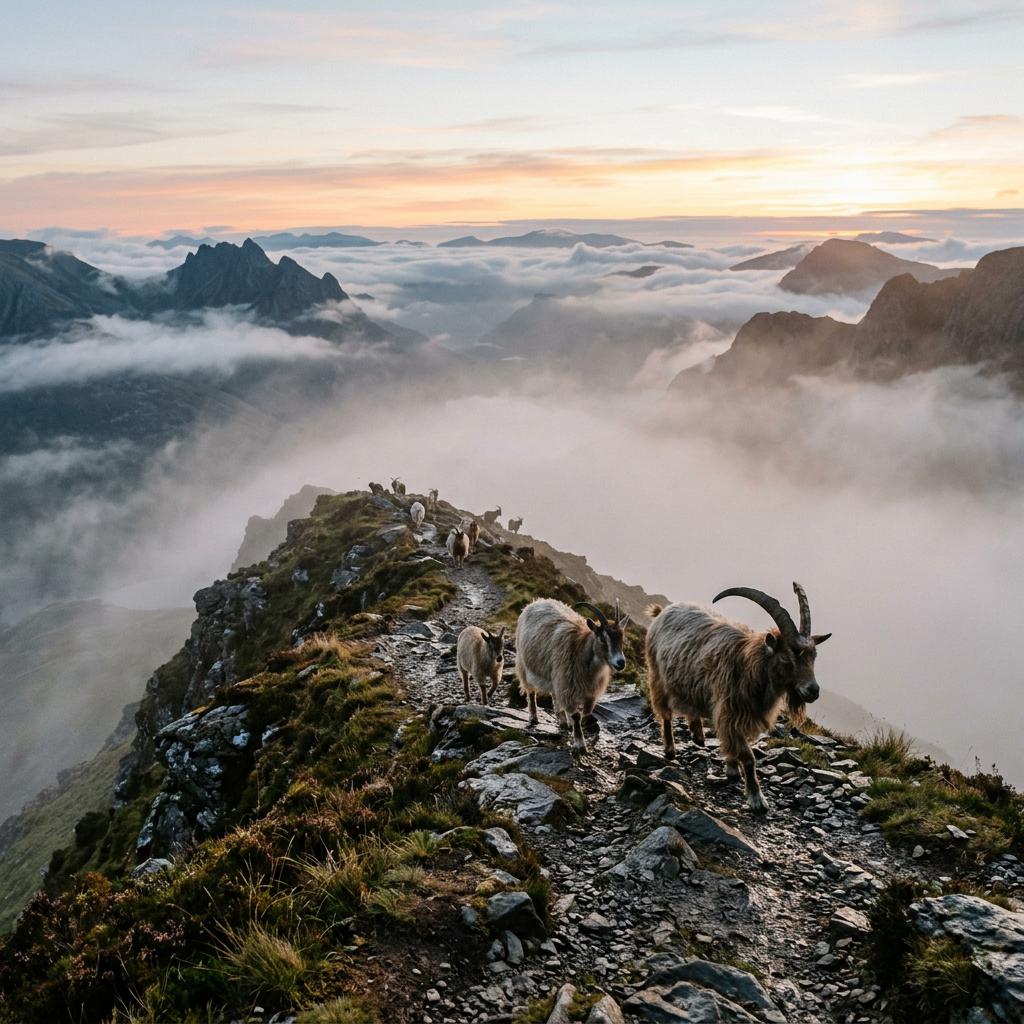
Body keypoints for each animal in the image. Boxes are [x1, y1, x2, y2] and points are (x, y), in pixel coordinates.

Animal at [515, 598, 629, 752]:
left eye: (621, 638)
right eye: (602, 638)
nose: (620, 663)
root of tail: (535, 602)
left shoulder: (589, 691)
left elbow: (585, 712)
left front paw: (573, 724)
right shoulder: (568, 684)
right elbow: (576, 715)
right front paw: (580, 744)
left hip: (556, 675)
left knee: (555, 695)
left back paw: (563, 720)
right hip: (525, 665)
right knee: (531, 691)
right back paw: (533, 717)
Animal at [645, 582, 831, 813]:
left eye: (813, 656)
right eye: (786, 657)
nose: (813, 690)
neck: (748, 666)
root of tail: (662, 612)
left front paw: (732, 768)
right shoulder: (731, 713)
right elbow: (749, 758)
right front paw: (756, 798)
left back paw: (698, 734)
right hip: (658, 677)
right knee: (665, 715)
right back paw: (670, 749)